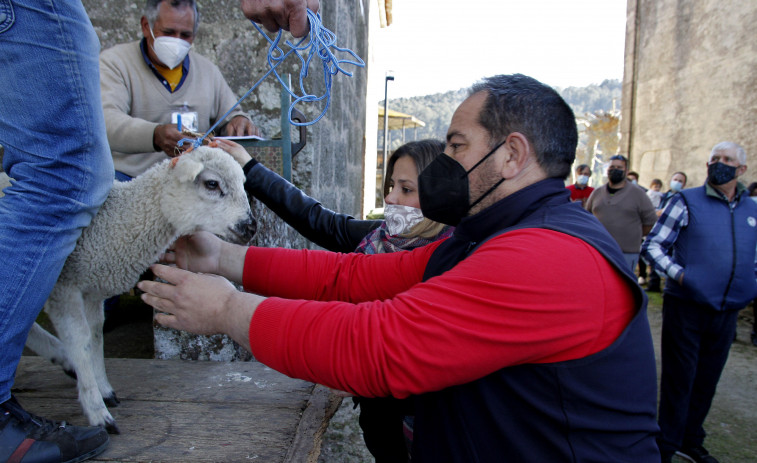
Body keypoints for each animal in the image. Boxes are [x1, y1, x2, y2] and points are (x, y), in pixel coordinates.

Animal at [19, 148, 256, 436]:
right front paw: (97, 410)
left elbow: (95, 336)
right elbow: (81, 340)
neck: (107, 224)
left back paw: (63, 360)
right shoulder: (65, 285)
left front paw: (103, 388)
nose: (251, 227)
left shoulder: (92, 290)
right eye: (212, 184)